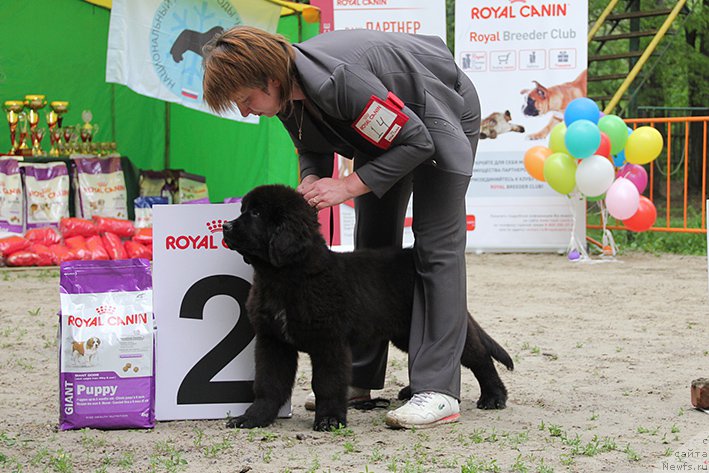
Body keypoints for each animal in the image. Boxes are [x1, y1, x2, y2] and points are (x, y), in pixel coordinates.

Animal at [220, 184, 508, 432]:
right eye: (243, 209)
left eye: (256, 213)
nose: (225, 226)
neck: (285, 278)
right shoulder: (273, 341)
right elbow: (268, 383)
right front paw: (254, 417)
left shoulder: (330, 343)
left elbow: (327, 384)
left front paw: (329, 420)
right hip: (404, 332)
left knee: (478, 355)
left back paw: (494, 396)